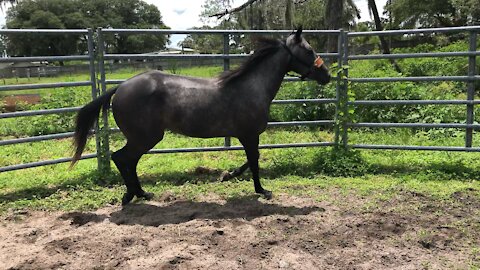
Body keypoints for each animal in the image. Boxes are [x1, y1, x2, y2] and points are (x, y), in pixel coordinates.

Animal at [71, 28, 332, 205]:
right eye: (309, 50)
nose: (327, 75)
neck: (252, 87)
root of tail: (121, 87)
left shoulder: (246, 136)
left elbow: (251, 160)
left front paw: (228, 175)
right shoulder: (249, 135)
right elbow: (255, 161)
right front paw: (262, 190)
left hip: (143, 139)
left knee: (129, 161)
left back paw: (141, 193)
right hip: (145, 138)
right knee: (122, 158)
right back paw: (131, 196)